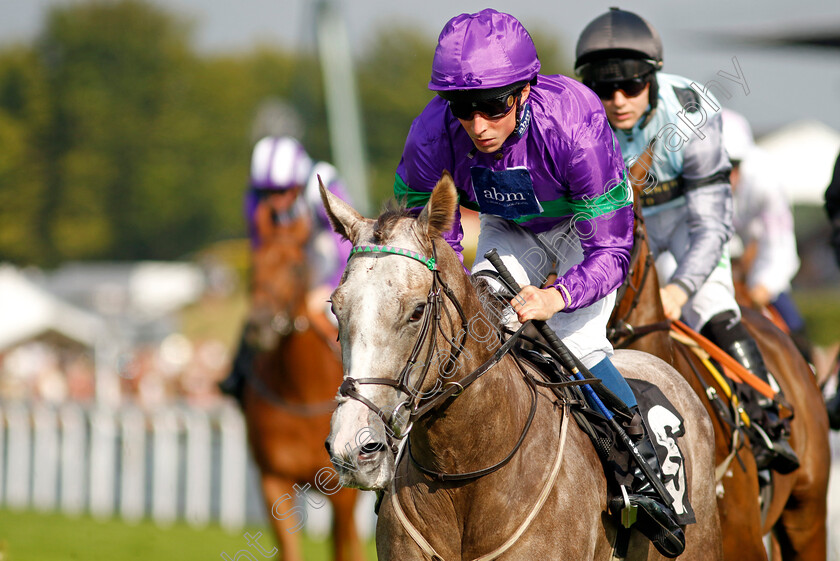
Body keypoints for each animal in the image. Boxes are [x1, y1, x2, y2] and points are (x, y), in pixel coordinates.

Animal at [240, 194, 364, 560]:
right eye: (253, 266)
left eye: (295, 267)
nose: (259, 326)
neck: (300, 391)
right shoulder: (273, 479)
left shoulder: (342, 492)